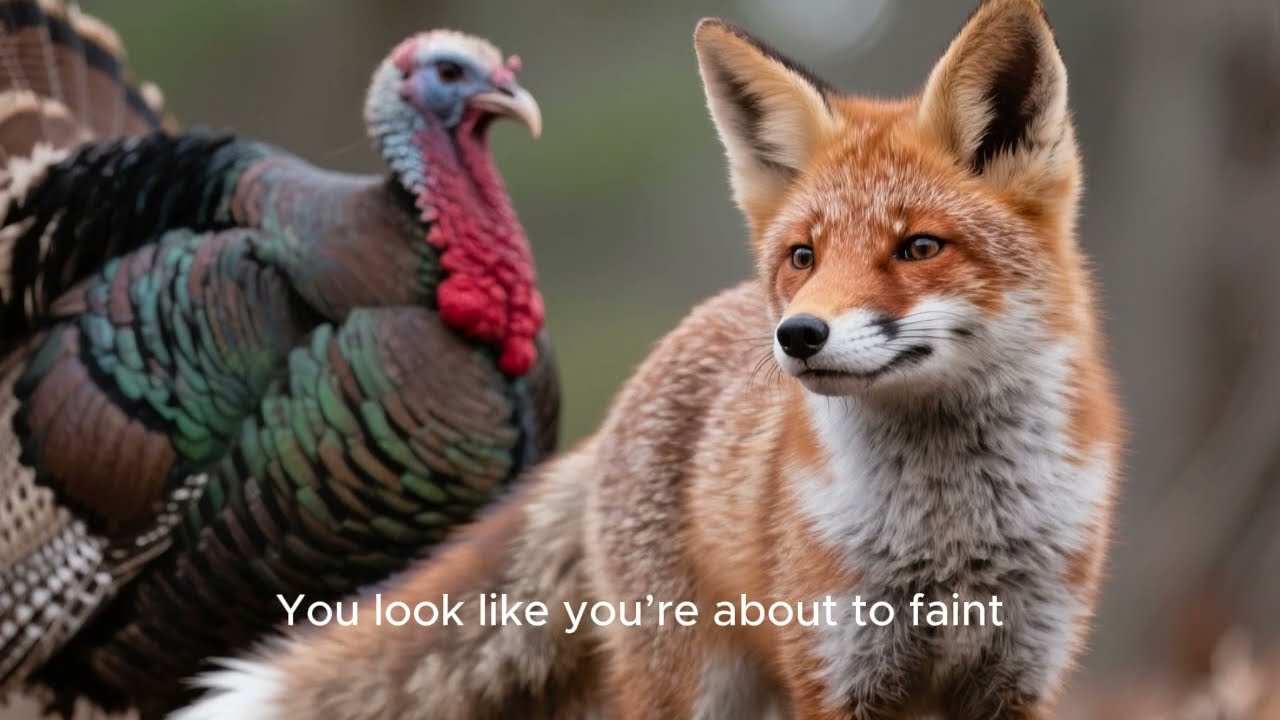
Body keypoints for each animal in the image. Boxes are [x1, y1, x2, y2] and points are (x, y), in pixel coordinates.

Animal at [172, 1, 1121, 718]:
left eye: (920, 247)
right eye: (804, 256)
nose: (799, 335)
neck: (951, 534)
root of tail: (651, 368)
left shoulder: (1018, 674)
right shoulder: (840, 673)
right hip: (695, 688)